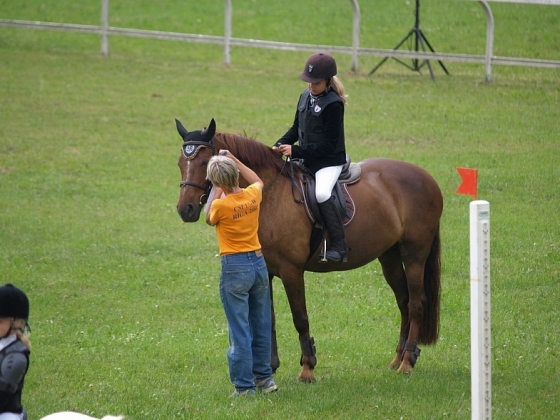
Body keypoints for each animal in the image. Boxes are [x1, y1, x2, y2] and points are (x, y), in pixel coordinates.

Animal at [175, 117, 442, 380]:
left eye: (204, 162)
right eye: (180, 163)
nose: (185, 210)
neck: (269, 194)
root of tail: (427, 177)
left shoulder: (292, 271)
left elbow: (300, 318)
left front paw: (307, 368)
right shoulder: (266, 271)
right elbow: (268, 319)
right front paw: (270, 368)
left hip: (415, 253)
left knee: (416, 303)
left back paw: (407, 361)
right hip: (389, 256)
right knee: (404, 300)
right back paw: (398, 358)